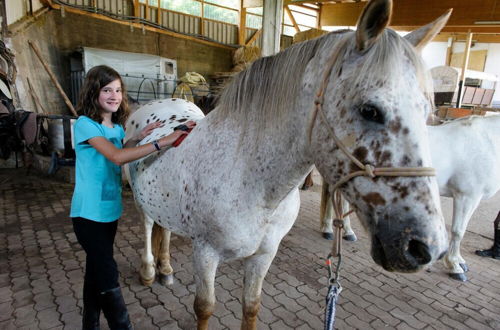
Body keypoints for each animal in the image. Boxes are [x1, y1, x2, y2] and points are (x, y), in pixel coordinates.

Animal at [126, 1, 454, 328]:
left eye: (427, 112)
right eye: (369, 110)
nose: (425, 246)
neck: (249, 181)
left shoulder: (264, 254)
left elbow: (251, 305)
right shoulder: (205, 253)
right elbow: (204, 307)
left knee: (165, 230)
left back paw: (166, 269)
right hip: (141, 202)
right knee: (148, 227)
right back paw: (149, 271)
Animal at [322, 114, 500, 282]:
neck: (487, 140)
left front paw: (460, 261)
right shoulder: (467, 196)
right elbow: (458, 231)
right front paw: (455, 266)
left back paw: (347, 232)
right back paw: (329, 229)